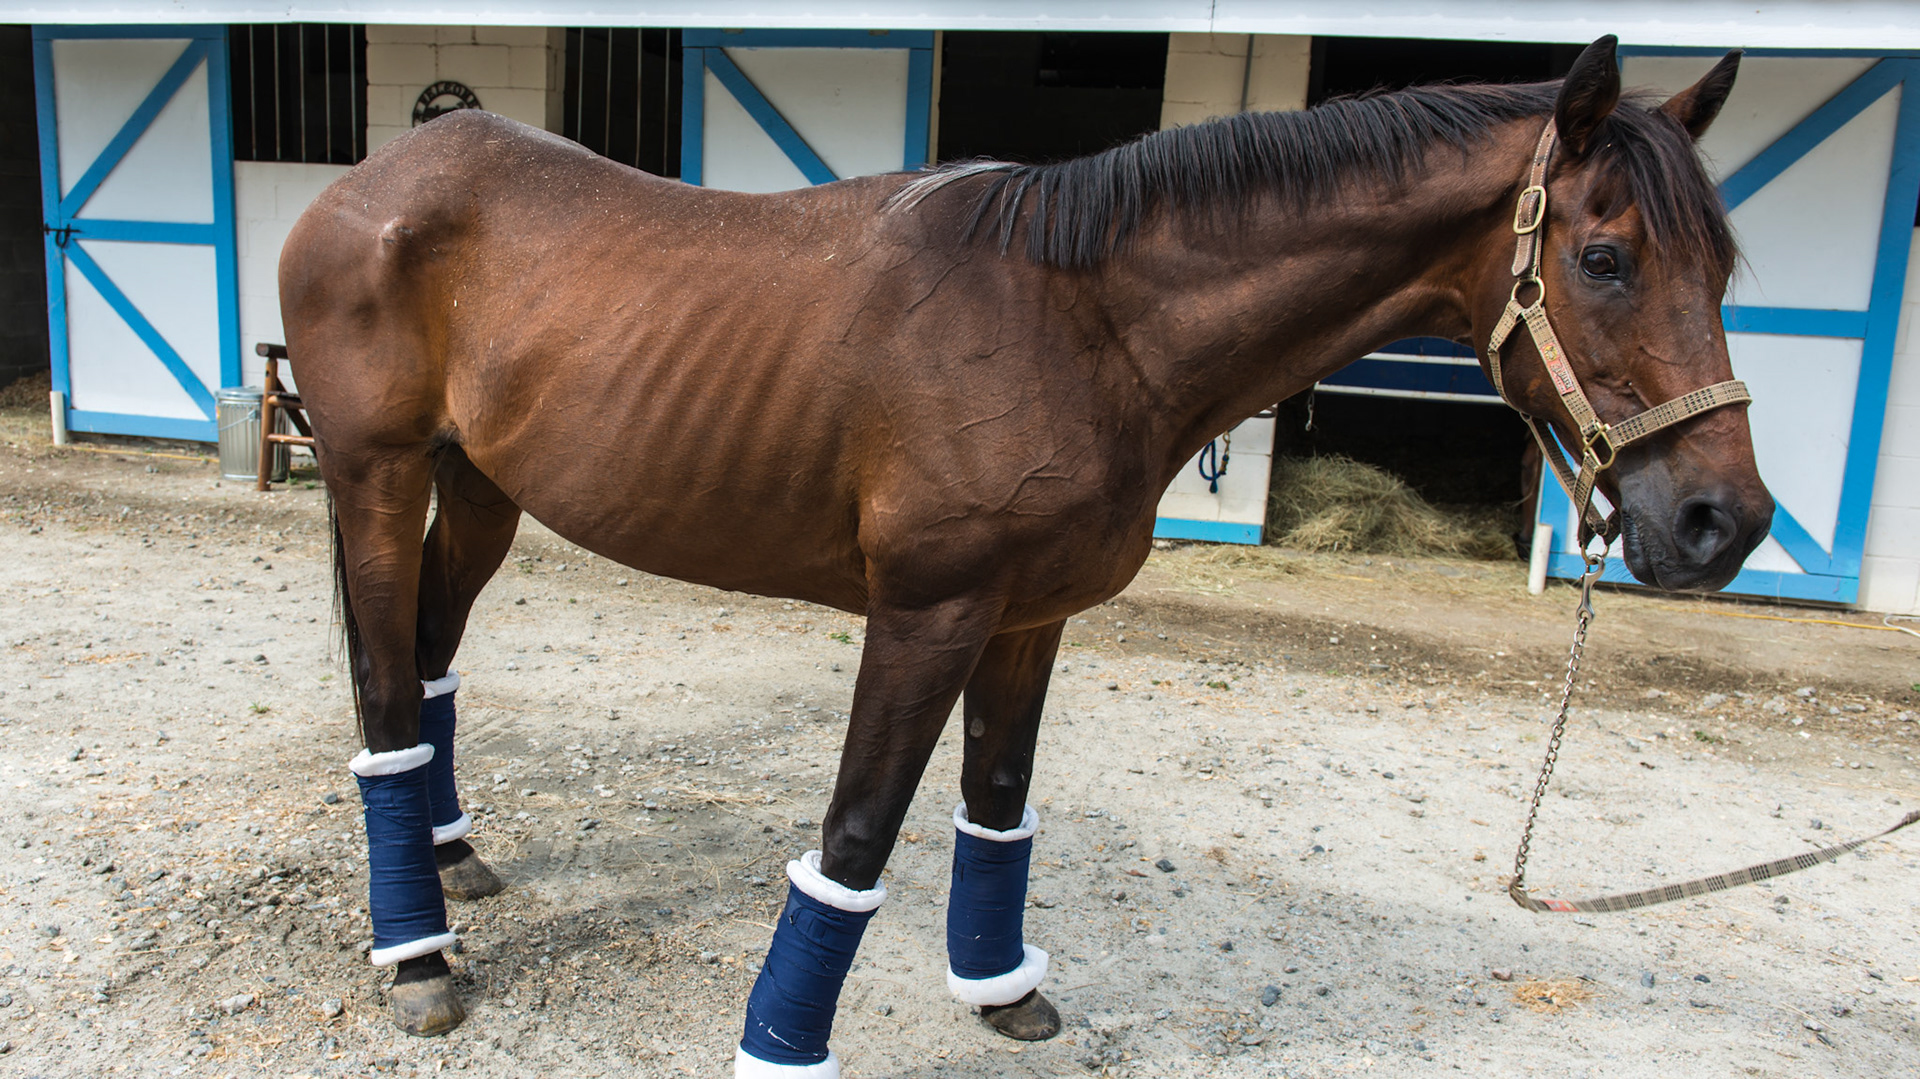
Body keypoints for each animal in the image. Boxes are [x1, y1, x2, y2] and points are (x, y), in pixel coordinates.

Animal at [279, 35, 1769, 1076]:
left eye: (1724, 267)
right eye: (1604, 258)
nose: (1727, 522)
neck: (1084, 318)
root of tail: (380, 179)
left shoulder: (1028, 617)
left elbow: (997, 805)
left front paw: (1002, 991)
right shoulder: (926, 613)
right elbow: (857, 835)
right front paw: (781, 1041)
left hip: (483, 487)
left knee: (428, 663)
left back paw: (455, 861)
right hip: (376, 475)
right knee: (382, 690)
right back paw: (417, 955)